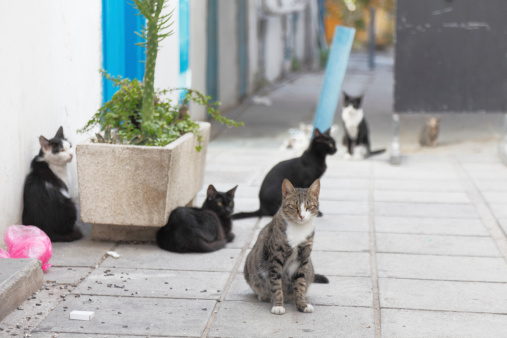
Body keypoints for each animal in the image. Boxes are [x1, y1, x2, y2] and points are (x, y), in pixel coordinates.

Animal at [243, 180, 330, 314]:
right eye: (294, 206)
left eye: (309, 207)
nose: (302, 216)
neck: (298, 230)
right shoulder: (275, 258)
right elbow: (276, 284)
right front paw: (278, 305)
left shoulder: (302, 259)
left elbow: (300, 283)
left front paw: (302, 305)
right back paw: (264, 295)